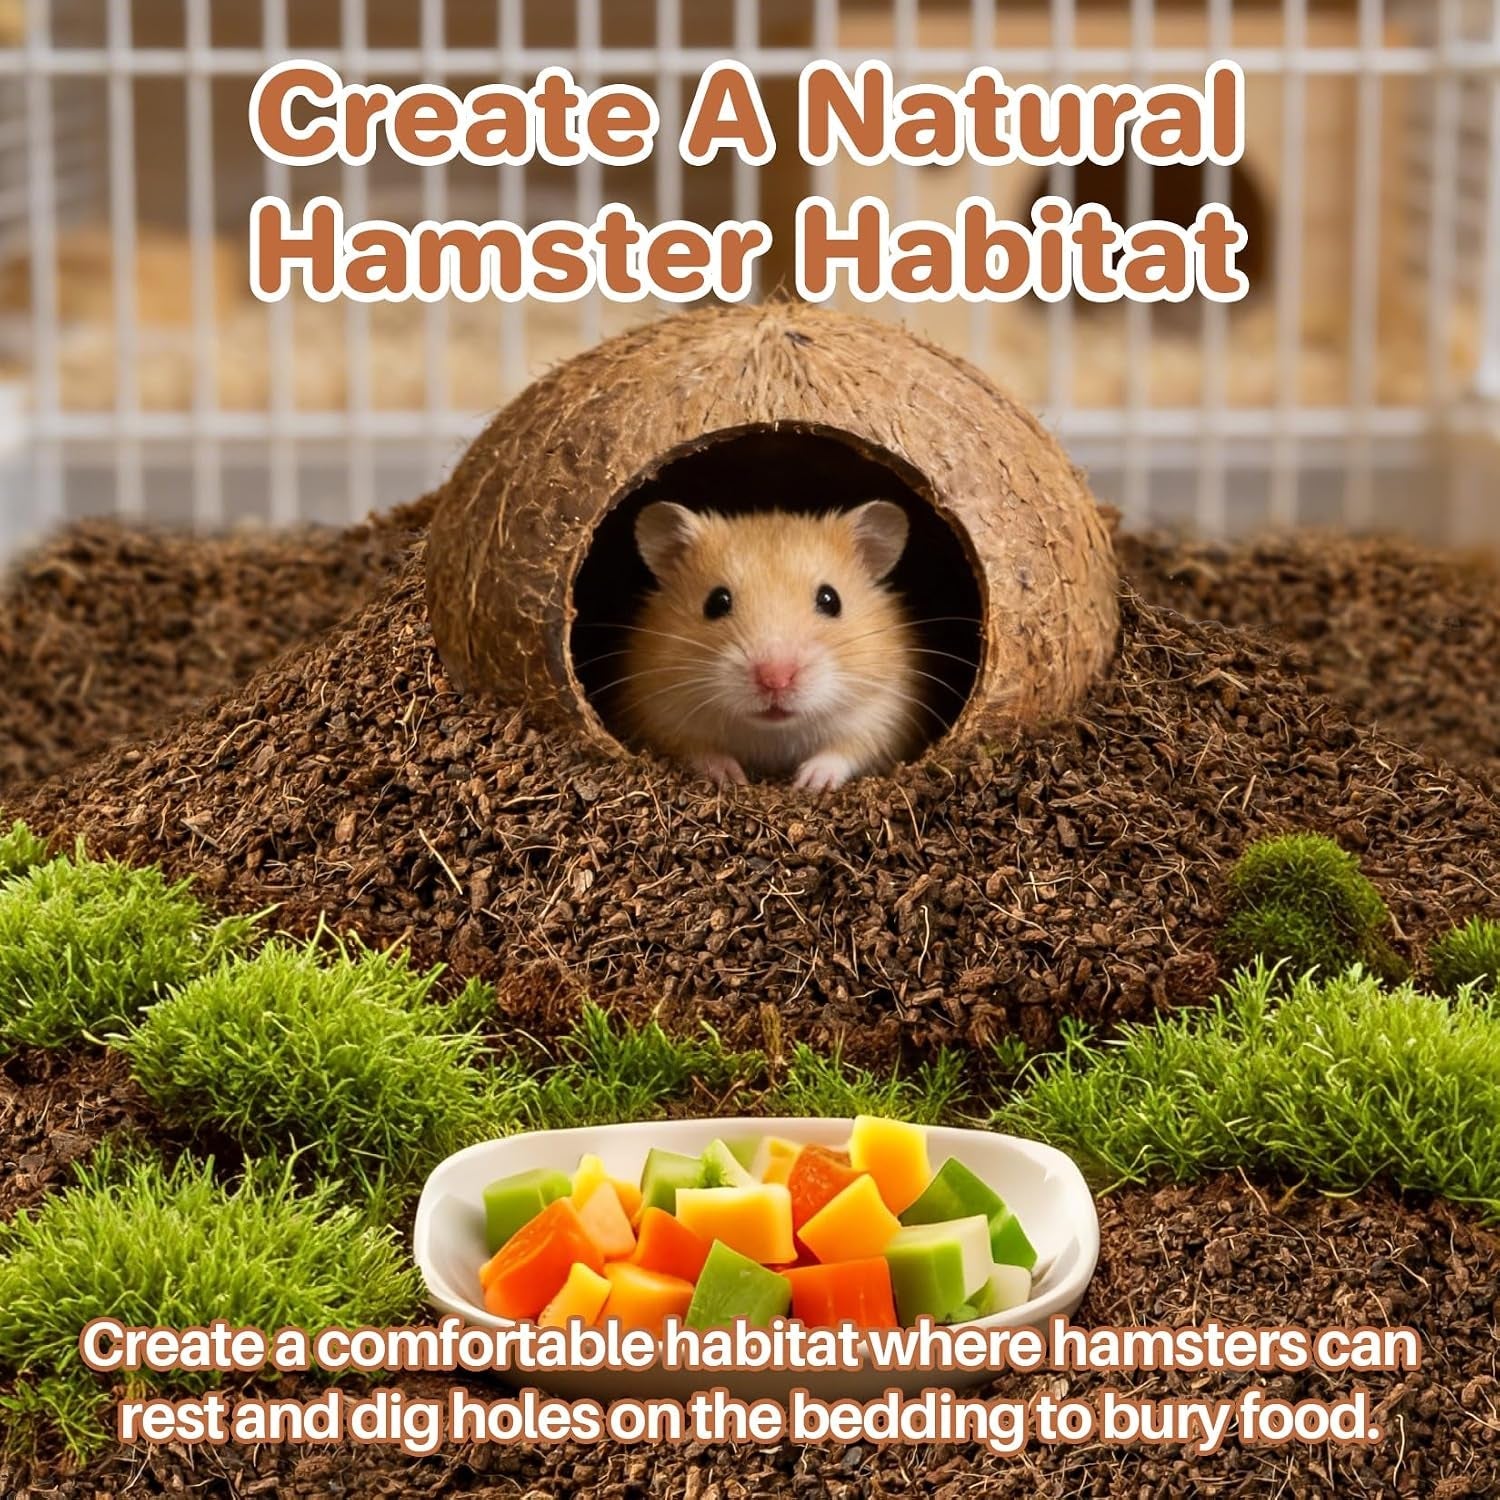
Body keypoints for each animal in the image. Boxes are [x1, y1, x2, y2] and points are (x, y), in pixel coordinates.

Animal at [616, 500, 925, 790]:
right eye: (716, 602)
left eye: (830, 600)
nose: (776, 680)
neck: (774, 732)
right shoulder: (658, 713)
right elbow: (696, 749)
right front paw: (731, 778)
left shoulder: (887, 711)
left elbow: (848, 749)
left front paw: (808, 783)